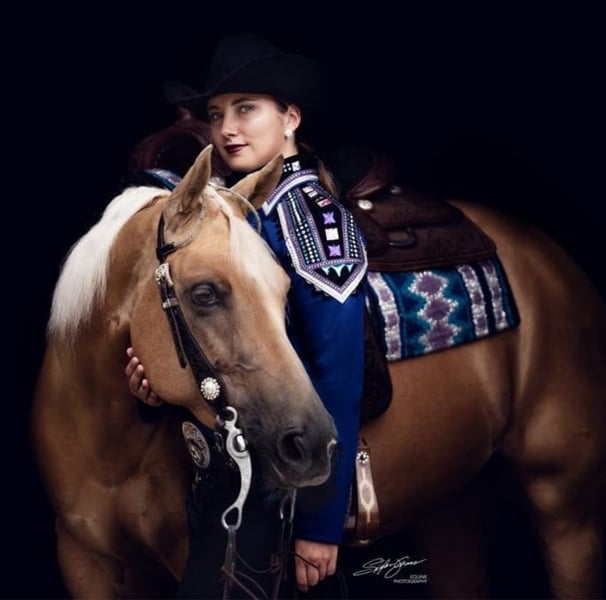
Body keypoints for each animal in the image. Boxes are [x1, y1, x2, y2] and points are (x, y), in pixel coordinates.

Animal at [32, 143, 606, 599]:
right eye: (204, 293)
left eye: (286, 291)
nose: (313, 445)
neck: (109, 440)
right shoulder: (84, 563)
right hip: (454, 504)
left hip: (566, 508)